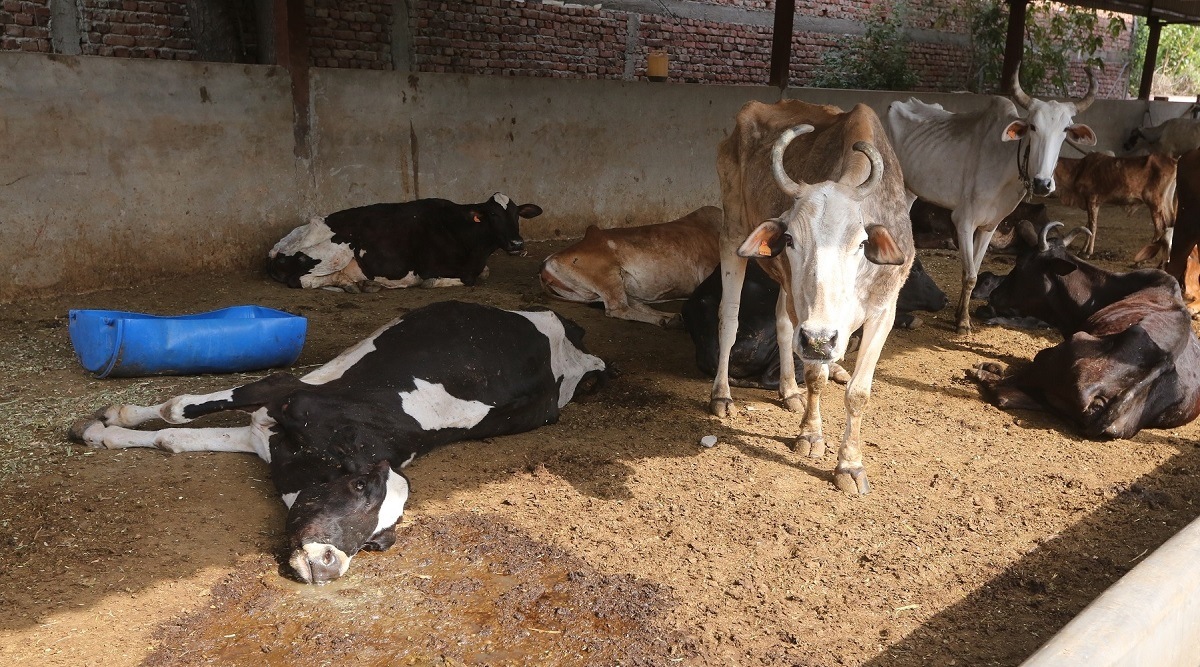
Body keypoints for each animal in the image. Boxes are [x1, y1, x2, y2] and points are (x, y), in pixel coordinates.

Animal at [69, 300, 607, 584]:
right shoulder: (278, 392)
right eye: (358, 488)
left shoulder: (261, 432)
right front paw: (108, 420)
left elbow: (173, 439)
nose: (330, 566)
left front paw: (103, 430)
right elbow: (175, 413)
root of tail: (578, 352)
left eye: (376, 543)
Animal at [267, 193, 544, 292]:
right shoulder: (431, 269)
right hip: (337, 249)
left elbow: (484, 273)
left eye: (517, 214)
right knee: (302, 281)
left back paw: (358, 283)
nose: (517, 243)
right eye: (493, 215)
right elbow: (462, 280)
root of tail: (275, 249)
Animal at [538, 206, 721, 327]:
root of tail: (546, 263)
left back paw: (671, 317)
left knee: (638, 305)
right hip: (608, 278)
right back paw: (663, 320)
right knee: (618, 309)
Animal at [710, 99, 912, 495]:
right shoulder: (810, 323)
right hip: (733, 231)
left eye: (861, 243)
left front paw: (850, 464)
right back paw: (722, 394)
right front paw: (810, 435)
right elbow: (816, 376)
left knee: (782, 324)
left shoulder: (884, 310)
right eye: (790, 239)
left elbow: (859, 392)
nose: (820, 338)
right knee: (730, 317)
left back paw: (789, 391)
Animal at [969, 221, 1200, 439]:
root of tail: (1162, 362)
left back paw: (987, 370)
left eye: (1020, 262)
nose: (994, 294)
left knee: (1004, 392)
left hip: (1060, 350)